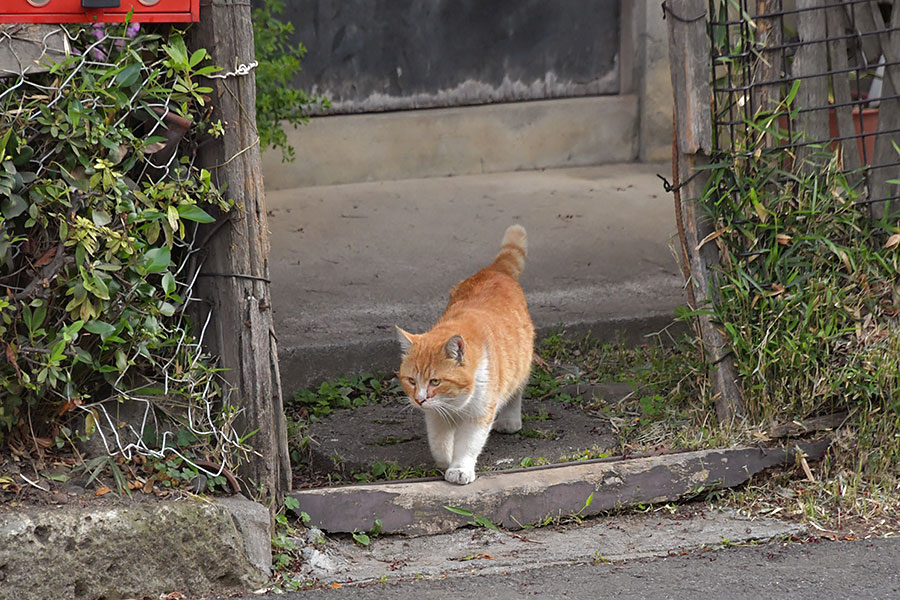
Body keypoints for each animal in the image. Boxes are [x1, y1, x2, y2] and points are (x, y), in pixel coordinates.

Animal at [396, 224, 536, 482]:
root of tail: (494, 269)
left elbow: (468, 444)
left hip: (521, 364)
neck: (455, 403)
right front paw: (446, 460)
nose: (419, 399)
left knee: (517, 390)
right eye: (411, 380)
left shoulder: (479, 415)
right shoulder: (436, 416)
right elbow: (439, 443)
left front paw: (459, 468)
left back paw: (510, 420)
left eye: (435, 381)